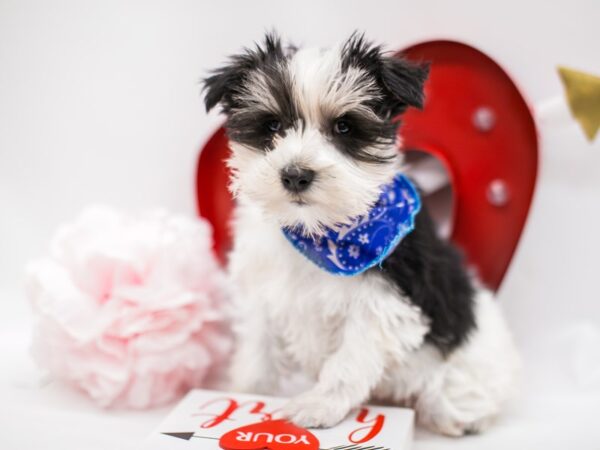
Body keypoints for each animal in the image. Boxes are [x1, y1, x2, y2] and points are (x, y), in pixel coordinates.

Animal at [203, 33, 520, 438]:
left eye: (344, 128)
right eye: (272, 126)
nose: (295, 175)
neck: (317, 231)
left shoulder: (384, 302)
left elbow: (350, 359)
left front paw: (319, 405)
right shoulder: (262, 290)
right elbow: (258, 350)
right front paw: (246, 393)